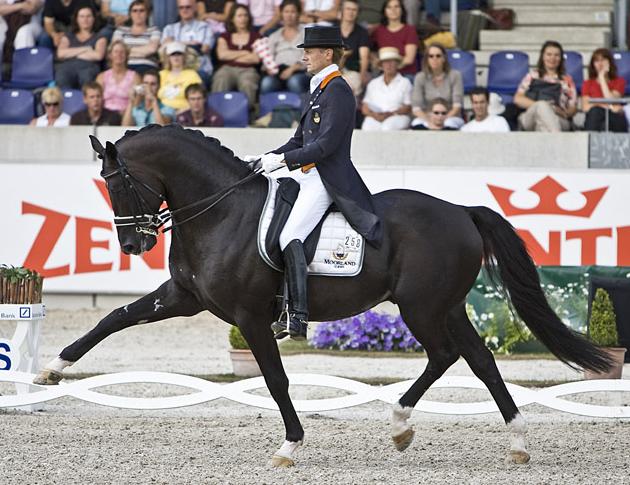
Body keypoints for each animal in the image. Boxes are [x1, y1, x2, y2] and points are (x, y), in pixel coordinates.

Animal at [34, 125, 612, 466]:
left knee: (446, 355)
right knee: (480, 360)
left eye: (119, 183)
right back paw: (515, 443)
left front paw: (289, 446)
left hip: (421, 306)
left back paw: (400, 425)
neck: (221, 212)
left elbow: (275, 378)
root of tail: (461, 211)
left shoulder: (248, 315)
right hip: (446, 306)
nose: (134, 244)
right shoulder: (183, 296)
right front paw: (52, 371)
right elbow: (114, 317)